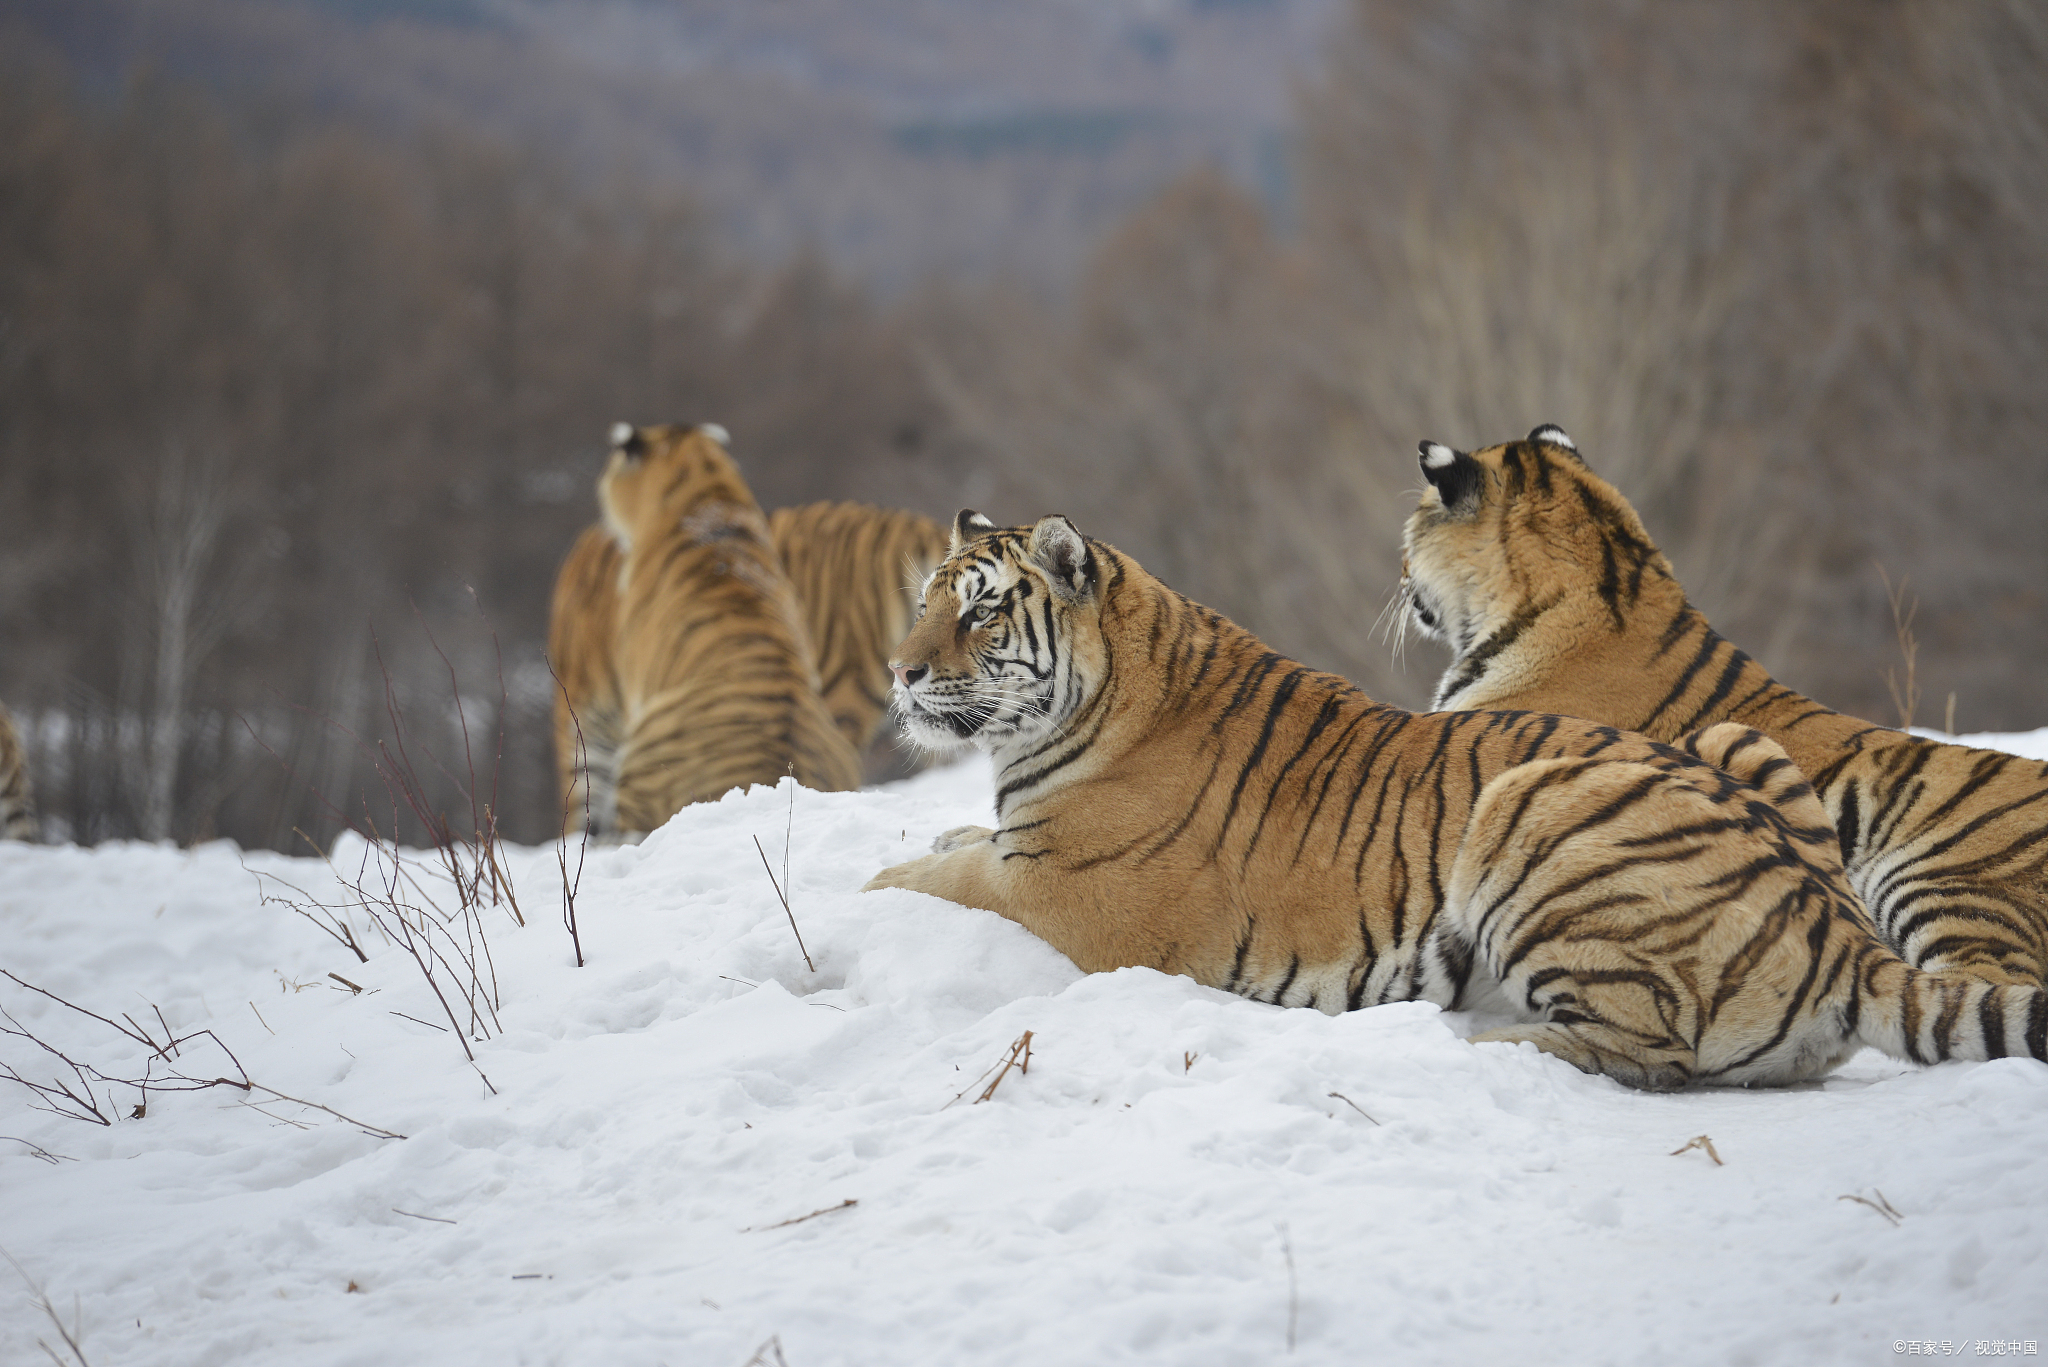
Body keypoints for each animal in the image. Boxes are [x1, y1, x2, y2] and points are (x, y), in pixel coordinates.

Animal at [864, 510, 2048, 1090]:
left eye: (978, 612)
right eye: (922, 600)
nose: (899, 670)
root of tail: (1837, 928)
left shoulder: (1059, 893)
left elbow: (920, 875)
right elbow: (948, 839)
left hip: (1527, 802)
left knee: (1645, 1053)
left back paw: (1477, 1044)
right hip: (1730, 742)